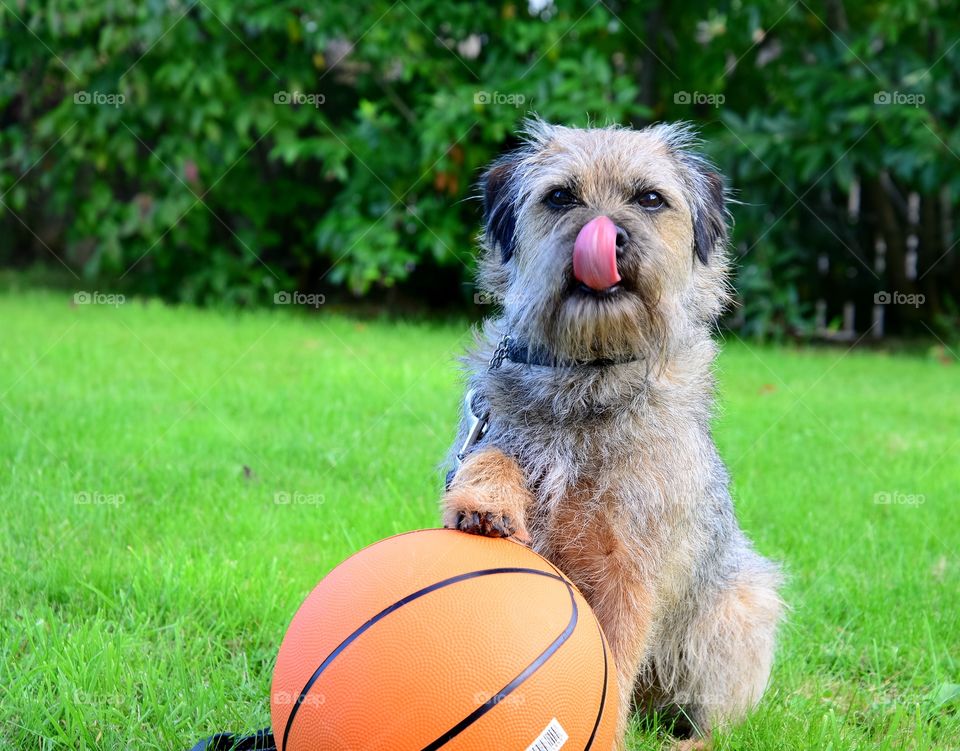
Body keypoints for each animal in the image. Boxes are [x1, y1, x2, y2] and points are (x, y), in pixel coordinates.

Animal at [446, 120, 784, 748]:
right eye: (561, 197)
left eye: (650, 198)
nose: (608, 237)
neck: (589, 376)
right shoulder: (488, 425)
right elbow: (496, 453)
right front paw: (487, 501)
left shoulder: (626, 571)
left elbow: (616, 656)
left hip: (741, 607)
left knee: (714, 719)